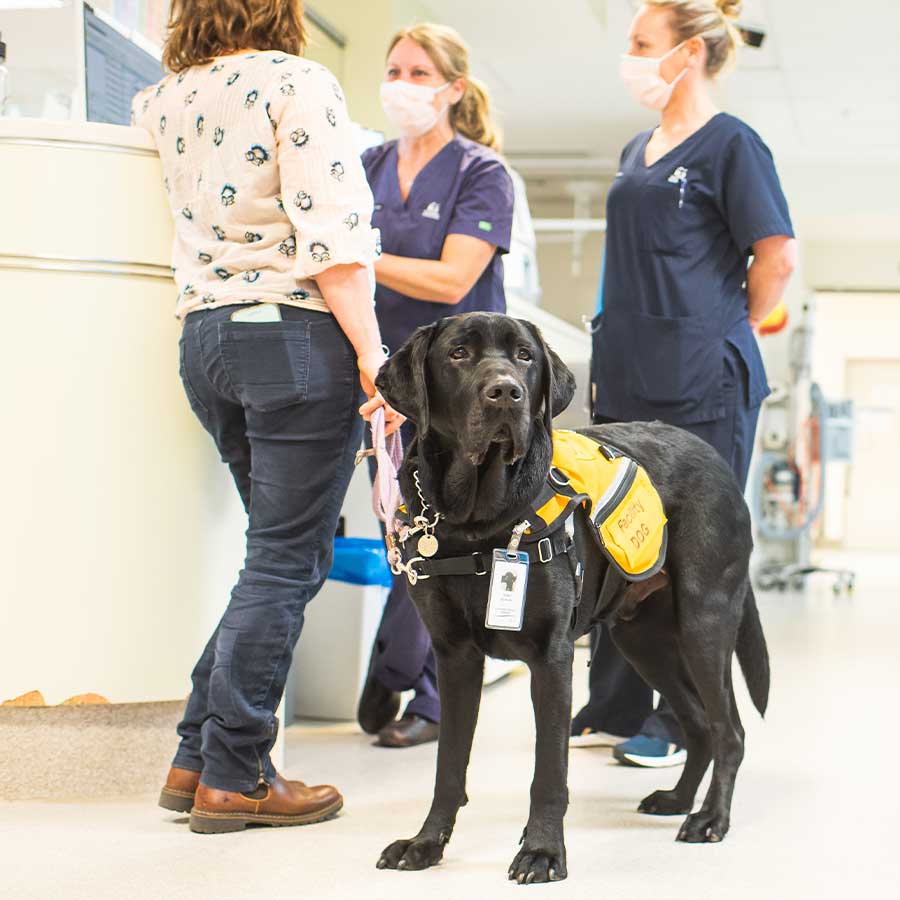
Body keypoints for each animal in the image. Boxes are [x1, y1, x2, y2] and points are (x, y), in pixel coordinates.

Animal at [370, 312, 768, 884]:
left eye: (525, 357)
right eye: (458, 354)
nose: (506, 393)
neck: (476, 521)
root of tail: (718, 461)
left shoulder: (551, 658)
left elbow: (549, 773)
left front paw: (542, 851)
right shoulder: (455, 657)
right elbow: (448, 766)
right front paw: (426, 844)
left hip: (704, 622)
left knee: (728, 728)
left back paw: (711, 817)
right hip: (643, 640)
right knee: (697, 724)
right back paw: (677, 799)